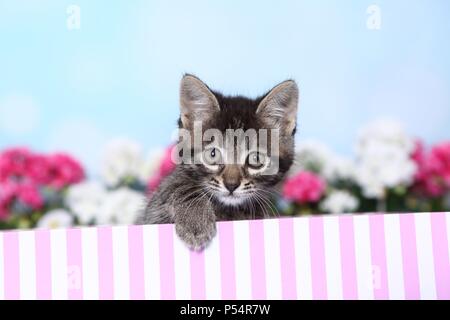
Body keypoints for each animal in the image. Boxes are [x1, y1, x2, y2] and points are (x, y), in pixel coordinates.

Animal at [137, 75, 298, 250]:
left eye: (256, 158)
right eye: (212, 154)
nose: (231, 185)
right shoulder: (153, 210)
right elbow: (178, 185)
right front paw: (196, 221)